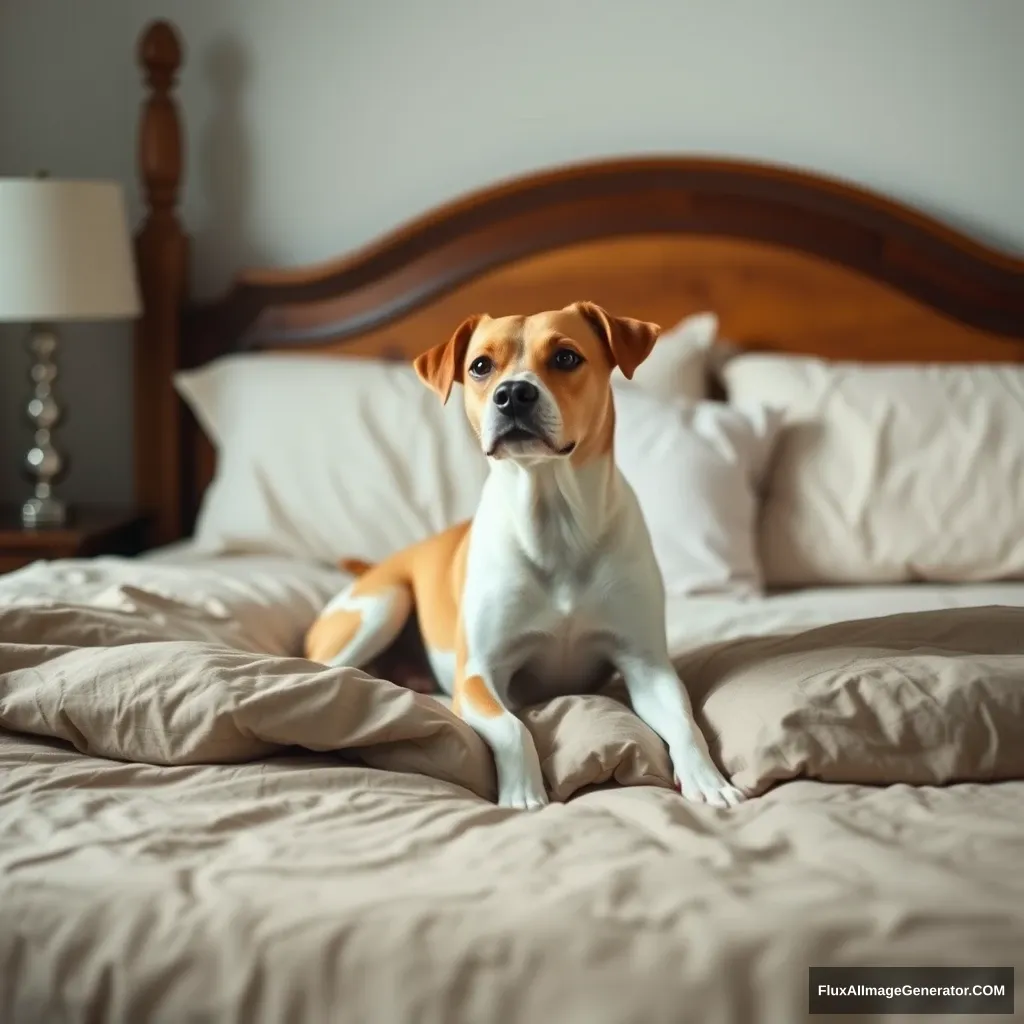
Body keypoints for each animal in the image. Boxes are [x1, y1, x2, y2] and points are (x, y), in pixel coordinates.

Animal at [303, 299, 745, 811]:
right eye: (480, 366)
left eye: (566, 357)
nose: (513, 393)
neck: (555, 521)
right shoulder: (479, 673)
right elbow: (513, 728)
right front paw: (523, 795)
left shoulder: (647, 664)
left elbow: (684, 722)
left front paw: (707, 780)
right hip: (383, 603)